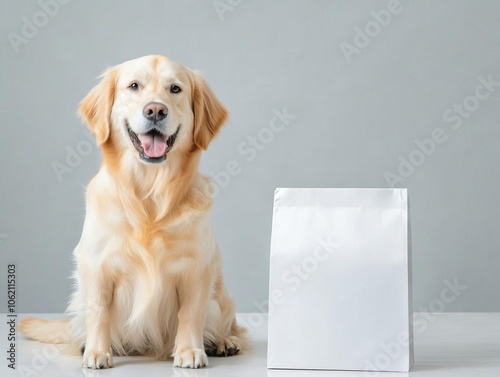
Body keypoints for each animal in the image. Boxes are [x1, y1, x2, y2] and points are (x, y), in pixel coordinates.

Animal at [21, 55, 248, 368]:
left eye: (175, 88)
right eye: (133, 86)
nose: (155, 110)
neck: (150, 195)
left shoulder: (196, 268)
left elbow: (191, 313)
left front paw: (190, 350)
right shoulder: (97, 265)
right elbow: (99, 311)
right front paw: (97, 352)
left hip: (221, 296)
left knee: (226, 321)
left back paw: (223, 341)